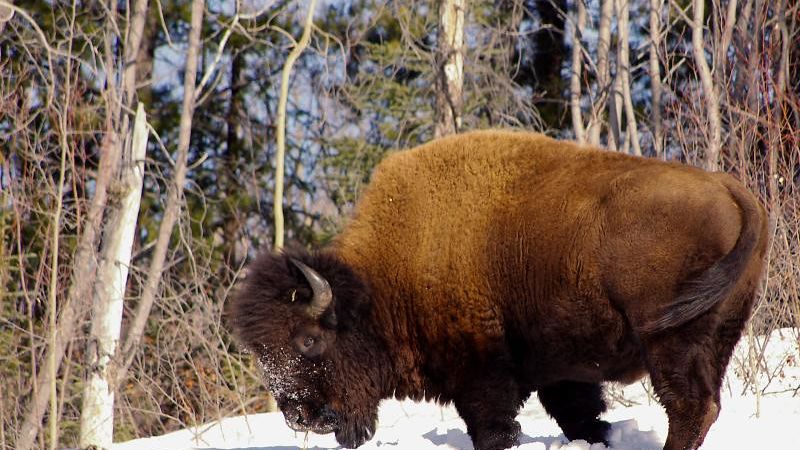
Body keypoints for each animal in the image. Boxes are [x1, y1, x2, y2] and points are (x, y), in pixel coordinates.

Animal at [228, 130, 768, 450]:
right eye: (262, 352)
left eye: (308, 340)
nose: (300, 416)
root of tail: (728, 187)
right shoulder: (564, 370)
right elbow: (582, 417)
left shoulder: (482, 372)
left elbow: (494, 428)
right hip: (720, 333)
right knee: (703, 404)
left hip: (671, 341)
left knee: (689, 406)